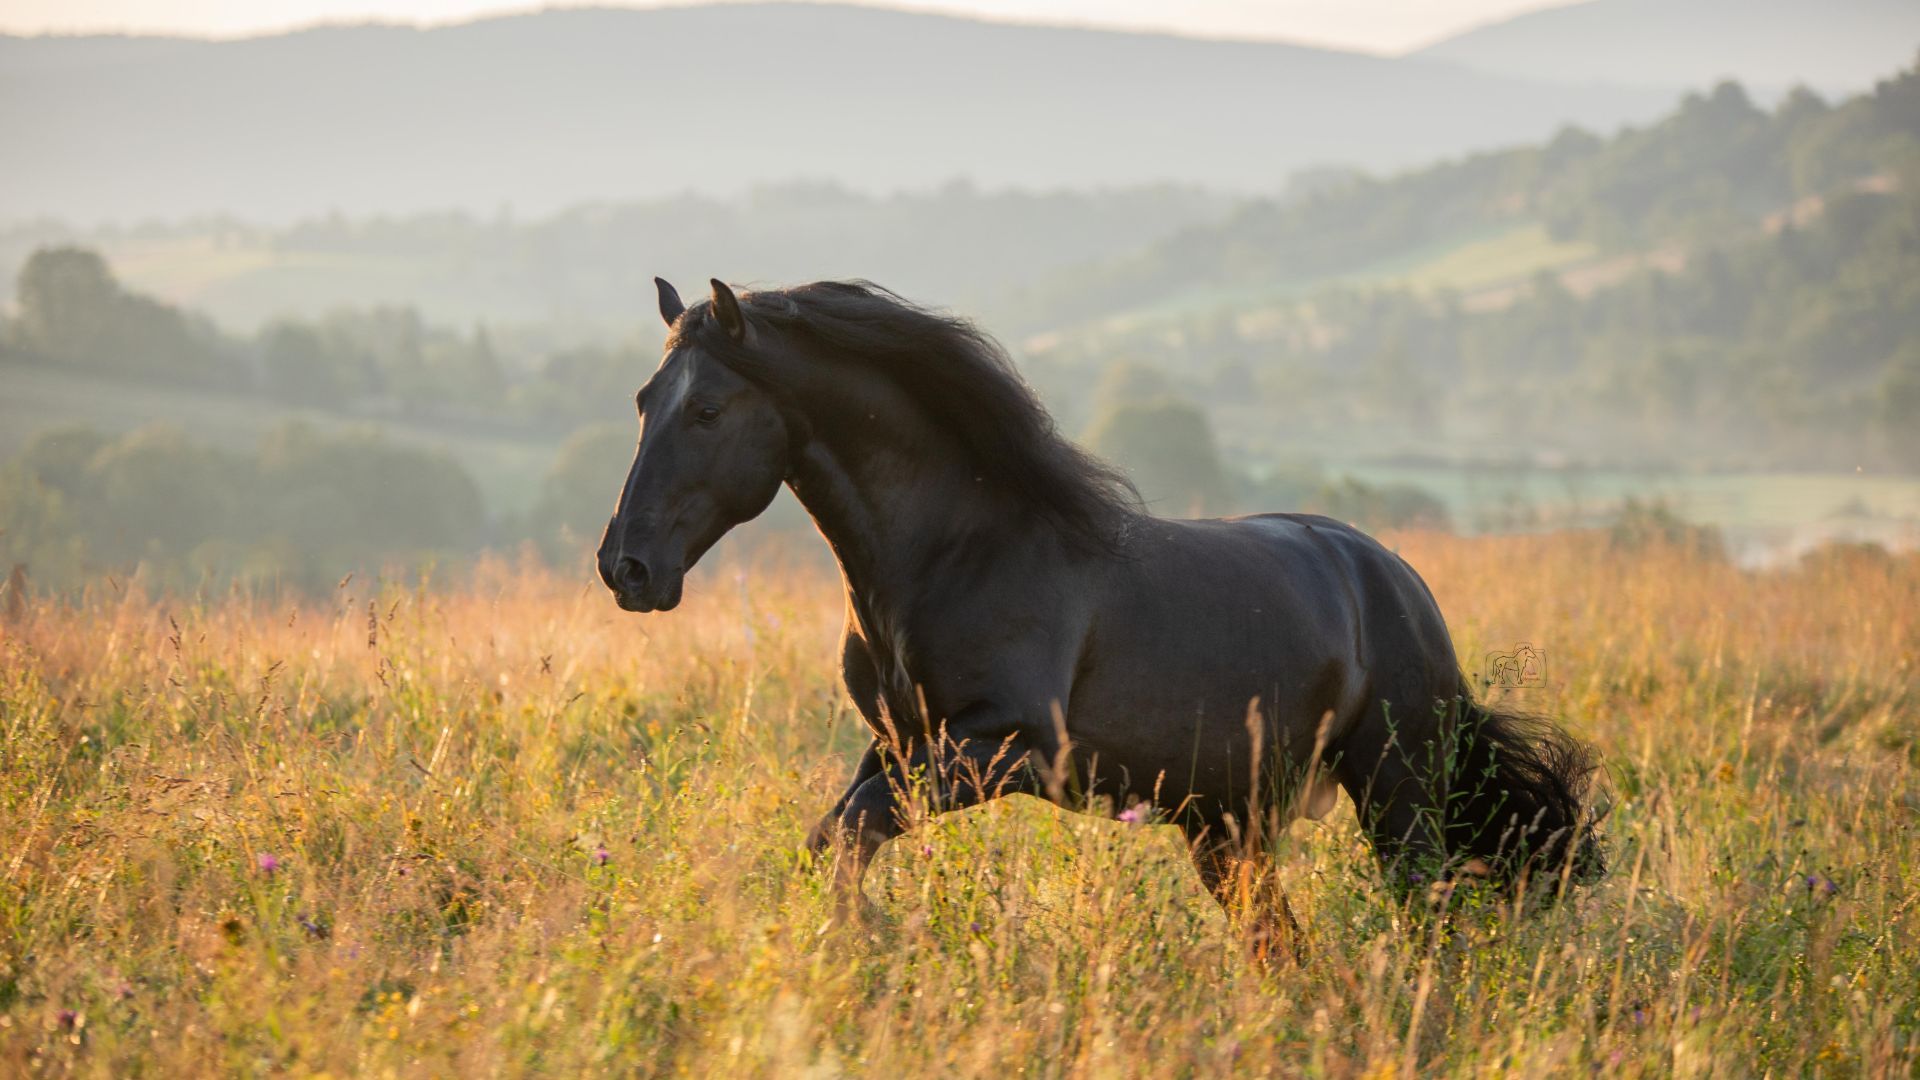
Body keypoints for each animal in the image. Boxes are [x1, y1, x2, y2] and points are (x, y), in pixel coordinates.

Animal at [597, 277, 1601, 955]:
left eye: (708, 409)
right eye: (643, 400)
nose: (625, 567)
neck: (953, 552)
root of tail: (1399, 585)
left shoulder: (998, 747)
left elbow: (846, 837)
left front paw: (870, 945)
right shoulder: (896, 744)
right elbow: (830, 842)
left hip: (1396, 795)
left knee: (1427, 915)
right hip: (1225, 826)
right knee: (1280, 945)